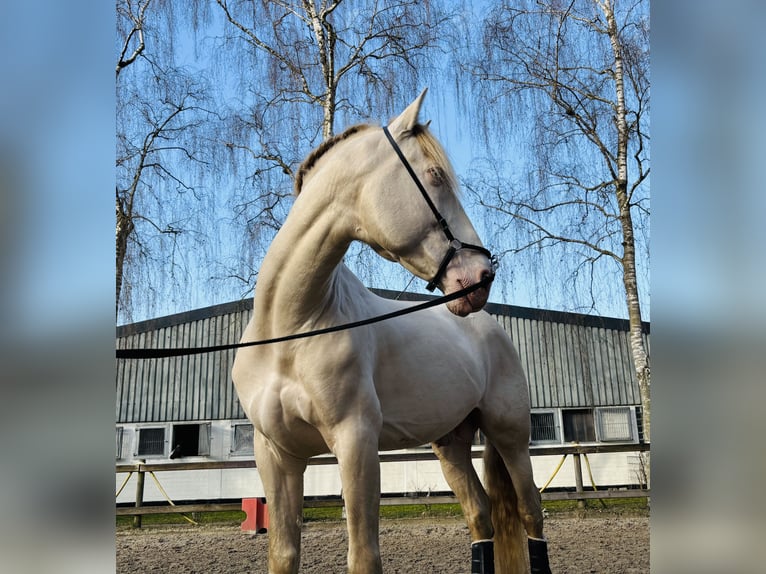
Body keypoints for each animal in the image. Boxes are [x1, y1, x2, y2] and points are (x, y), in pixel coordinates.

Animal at [232, 90, 552, 574]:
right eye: (435, 176)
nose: (481, 277)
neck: (290, 331)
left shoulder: (356, 444)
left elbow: (364, 556)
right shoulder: (277, 457)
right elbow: (284, 555)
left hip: (511, 435)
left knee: (531, 513)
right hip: (450, 444)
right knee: (480, 517)